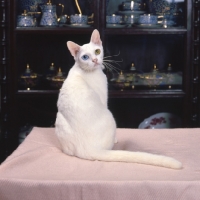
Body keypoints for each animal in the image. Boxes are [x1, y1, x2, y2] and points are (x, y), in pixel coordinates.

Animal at [54, 29, 181, 170]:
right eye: (85, 57)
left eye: (97, 51)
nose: (95, 60)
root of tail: (86, 149)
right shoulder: (103, 97)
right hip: (110, 115)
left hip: (59, 120)